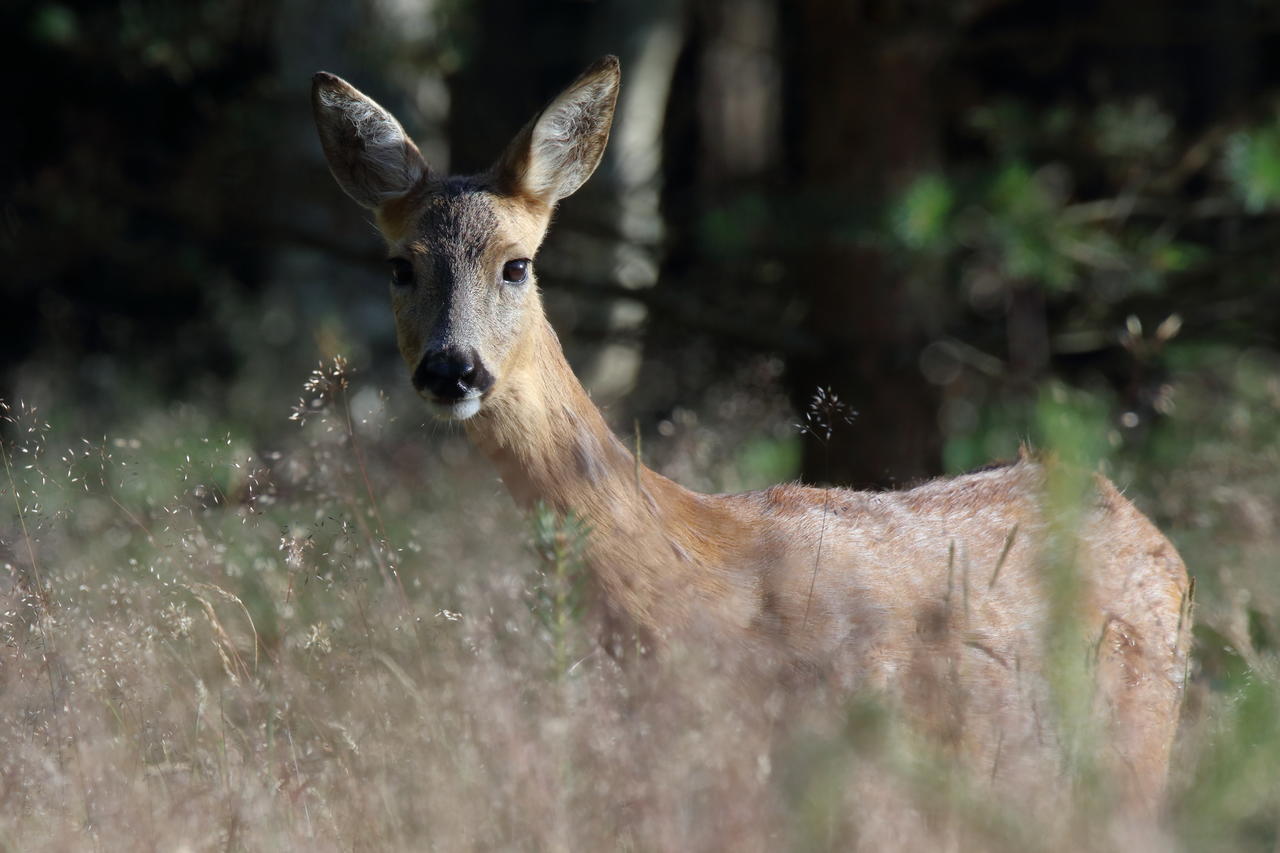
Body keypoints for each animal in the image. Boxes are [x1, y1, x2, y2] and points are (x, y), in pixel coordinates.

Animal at [309, 56, 1187, 819]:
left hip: (1136, 747)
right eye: (399, 265)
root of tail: (1145, 525)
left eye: (516, 264)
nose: (451, 369)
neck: (692, 574)